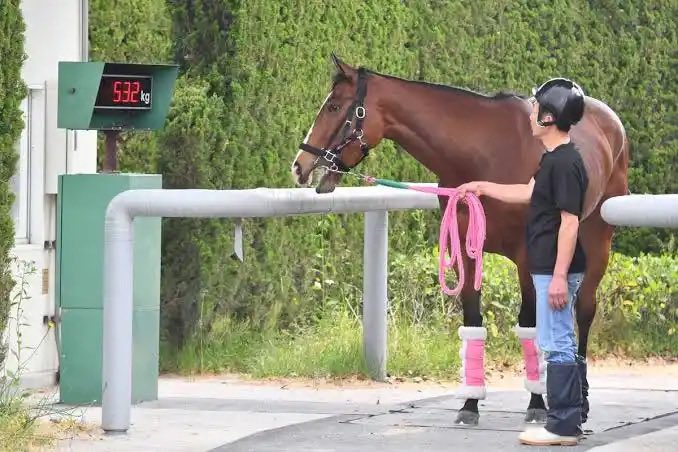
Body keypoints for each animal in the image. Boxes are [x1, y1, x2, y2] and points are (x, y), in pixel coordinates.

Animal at [291, 54, 629, 426]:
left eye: (335, 106)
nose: (299, 166)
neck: (484, 151)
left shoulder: (527, 255)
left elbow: (529, 323)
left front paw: (536, 403)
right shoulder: (465, 251)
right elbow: (473, 320)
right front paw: (470, 404)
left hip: (597, 239)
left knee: (584, 310)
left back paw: (579, 399)